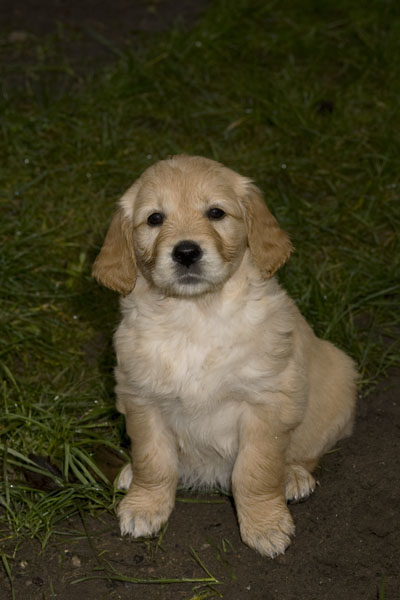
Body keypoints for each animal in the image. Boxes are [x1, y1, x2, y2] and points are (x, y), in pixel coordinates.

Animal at [93, 155, 356, 556]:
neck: (195, 316)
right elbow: (154, 461)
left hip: (337, 385)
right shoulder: (142, 398)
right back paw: (129, 472)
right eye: (154, 219)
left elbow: (255, 471)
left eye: (215, 212)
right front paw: (145, 505)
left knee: (307, 450)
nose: (186, 252)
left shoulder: (267, 404)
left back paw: (294, 476)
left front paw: (265, 524)